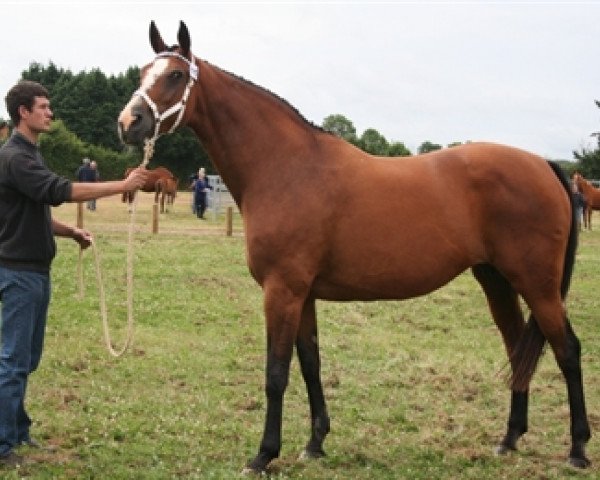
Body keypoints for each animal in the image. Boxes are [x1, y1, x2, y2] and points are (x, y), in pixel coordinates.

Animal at [117, 21, 592, 472]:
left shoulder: (282, 291)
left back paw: (578, 449)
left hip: (538, 285)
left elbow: (276, 372)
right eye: (142, 72)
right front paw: (315, 444)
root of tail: (543, 165)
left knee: (567, 350)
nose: (128, 123)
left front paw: (264, 455)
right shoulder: (303, 294)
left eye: (176, 75)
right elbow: (310, 363)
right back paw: (509, 439)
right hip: (496, 280)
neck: (286, 168)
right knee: (517, 347)